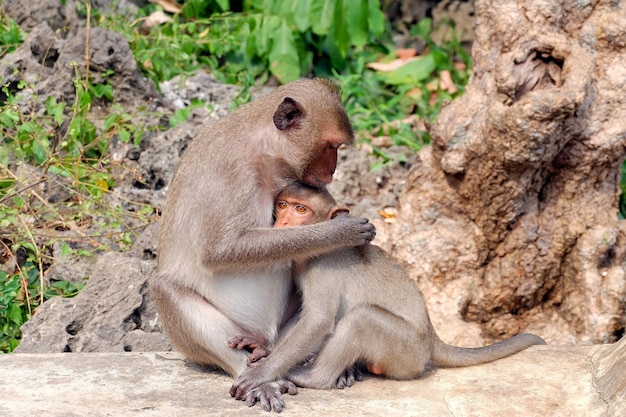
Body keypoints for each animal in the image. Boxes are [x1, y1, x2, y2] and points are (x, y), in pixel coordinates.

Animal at [152, 79, 376, 404]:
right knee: (165, 288)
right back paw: (257, 376)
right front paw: (339, 233)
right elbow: (219, 251)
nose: (333, 170)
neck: (259, 151)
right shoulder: (229, 172)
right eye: (331, 146)